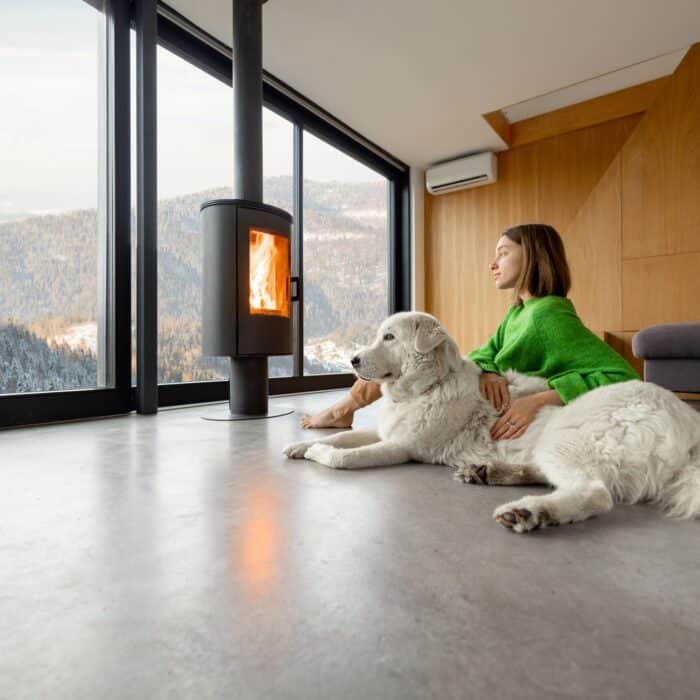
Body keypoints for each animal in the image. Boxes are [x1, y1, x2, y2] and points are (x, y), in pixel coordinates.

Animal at [284, 312, 700, 532]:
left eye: (388, 337)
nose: (353, 360)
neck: (429, 385)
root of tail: (686, 422)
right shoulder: (384, 431)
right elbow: (344, 439)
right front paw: (301, 445)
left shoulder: (401, 447)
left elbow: (342, 456)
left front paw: (317, 451)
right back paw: (486, 472)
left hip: (563, 438)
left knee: (595, 494)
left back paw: (529, 512)